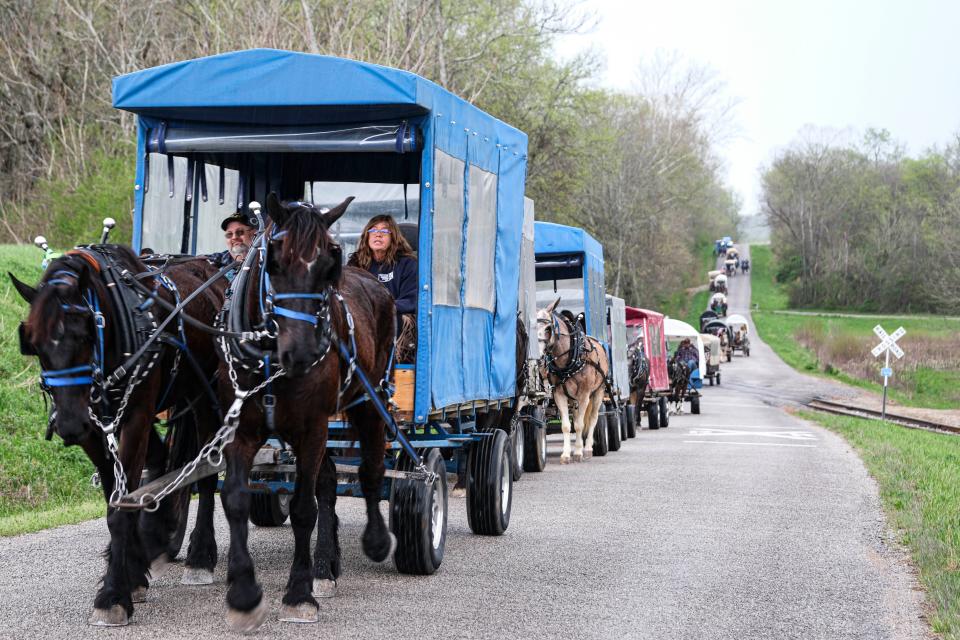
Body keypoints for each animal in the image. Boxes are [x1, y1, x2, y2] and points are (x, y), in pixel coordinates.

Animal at [10, 246, 225, 624]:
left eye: (83, 335)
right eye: (34, 344)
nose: (68, 424)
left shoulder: (135, 417)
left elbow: (120, 507)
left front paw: (113, 595)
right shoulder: (94, 428)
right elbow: (118, 497)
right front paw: (131, 572)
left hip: (204, 393)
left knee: (207, 469)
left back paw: (200, 556)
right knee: (162, 461)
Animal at [218, 194, 398, 632]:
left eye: (329, 261)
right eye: (274, 261)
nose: (300, 353)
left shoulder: (312, 428)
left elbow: (302, 508)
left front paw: (299, 594)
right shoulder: (240, 430)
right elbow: (236, 500)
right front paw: (243, 594)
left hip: (369, 401)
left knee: (370, 471)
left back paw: (375, 540)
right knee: (329, 480)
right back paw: (325, 566)